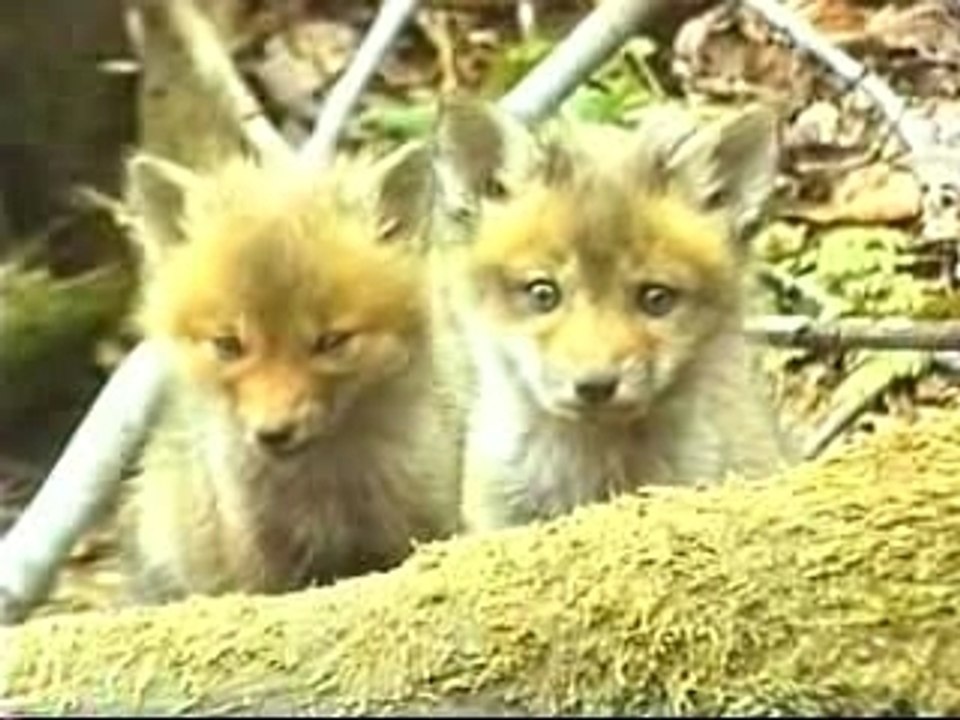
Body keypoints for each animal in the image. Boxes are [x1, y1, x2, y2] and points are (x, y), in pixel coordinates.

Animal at [119, 144, 463, 601]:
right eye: (228, 344)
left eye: (331, 341)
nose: (274, 433)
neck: (327, 496)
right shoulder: (262, 566)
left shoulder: (419, 530)